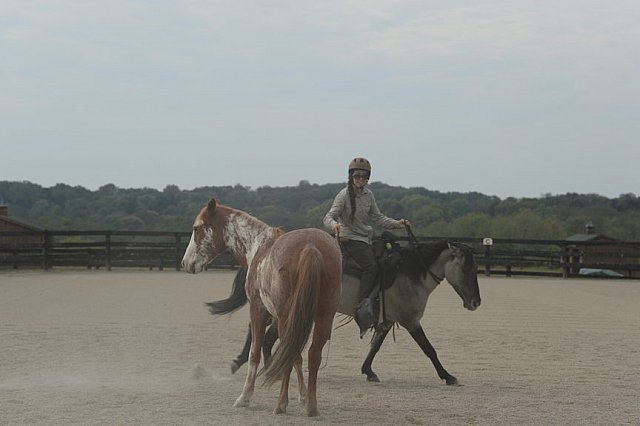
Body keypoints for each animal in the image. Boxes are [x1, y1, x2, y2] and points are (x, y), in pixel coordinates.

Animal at [182, 200, 342, 416]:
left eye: (196, 228)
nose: (185, 262)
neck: (258, 246)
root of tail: (310, 246)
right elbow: (297, 357)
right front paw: (302, 395)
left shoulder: (258, 311)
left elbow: (254, 352)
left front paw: (245, 396)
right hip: (323, 317)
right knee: (311, 354)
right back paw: (311, 406)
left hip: (287, 318)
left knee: (288, 354)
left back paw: (281, 405)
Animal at [210, 240, 480, 386]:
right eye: (466, 268)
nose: (476, 302)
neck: (410, 273)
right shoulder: (410, 320)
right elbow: (429, 349)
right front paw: (448, 376)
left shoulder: (387, 320)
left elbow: (375, 347)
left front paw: (369, 371)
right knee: (266, 337)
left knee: (261, 333)